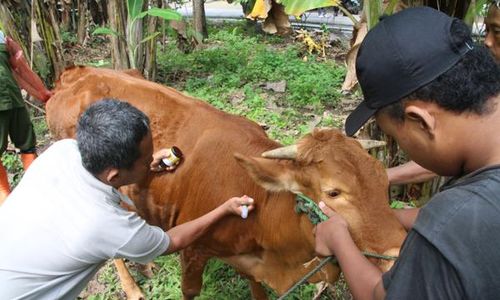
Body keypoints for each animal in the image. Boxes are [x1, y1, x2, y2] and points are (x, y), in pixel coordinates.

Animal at [46, 67, 406, 298]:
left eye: (382, 180)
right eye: (333, 192)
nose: (398, 250)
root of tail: (73, 74)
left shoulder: (252, 262)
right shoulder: (193, 249)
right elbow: (190, 291)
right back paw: (133, 288)